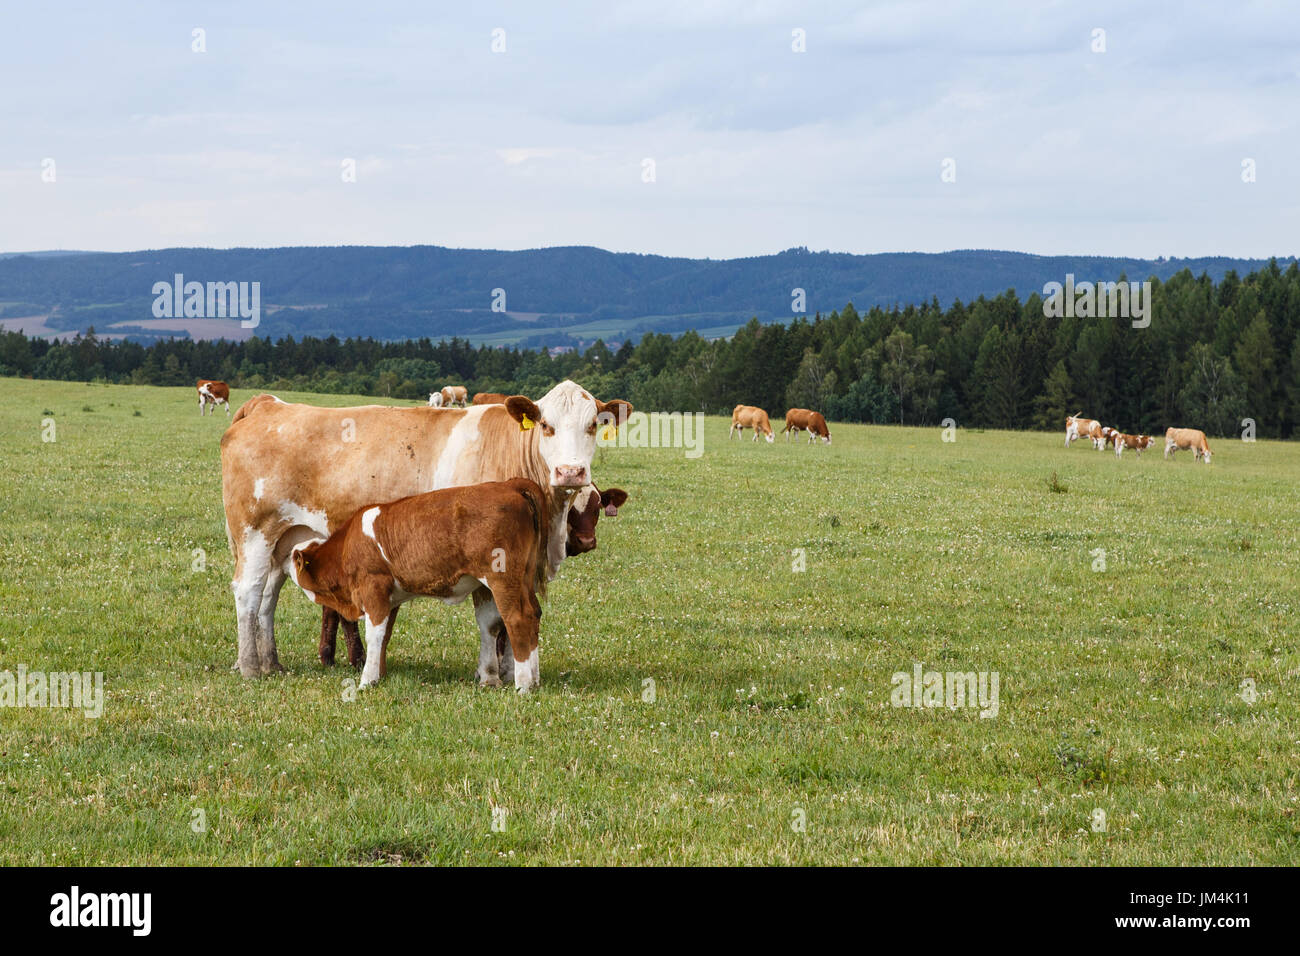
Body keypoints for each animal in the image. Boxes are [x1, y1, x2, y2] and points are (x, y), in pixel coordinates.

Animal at [288, 479, 552, 691]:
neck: (347, 547)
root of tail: (508, 485)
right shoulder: (391, 597)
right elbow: (385, 635)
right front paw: (380, 675)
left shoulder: (373, 587)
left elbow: (374, 634)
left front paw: (366, 681)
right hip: (524, 576)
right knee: (534, 613)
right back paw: (535, 679)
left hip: (502, 577)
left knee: (518, 618)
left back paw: (524, 685)